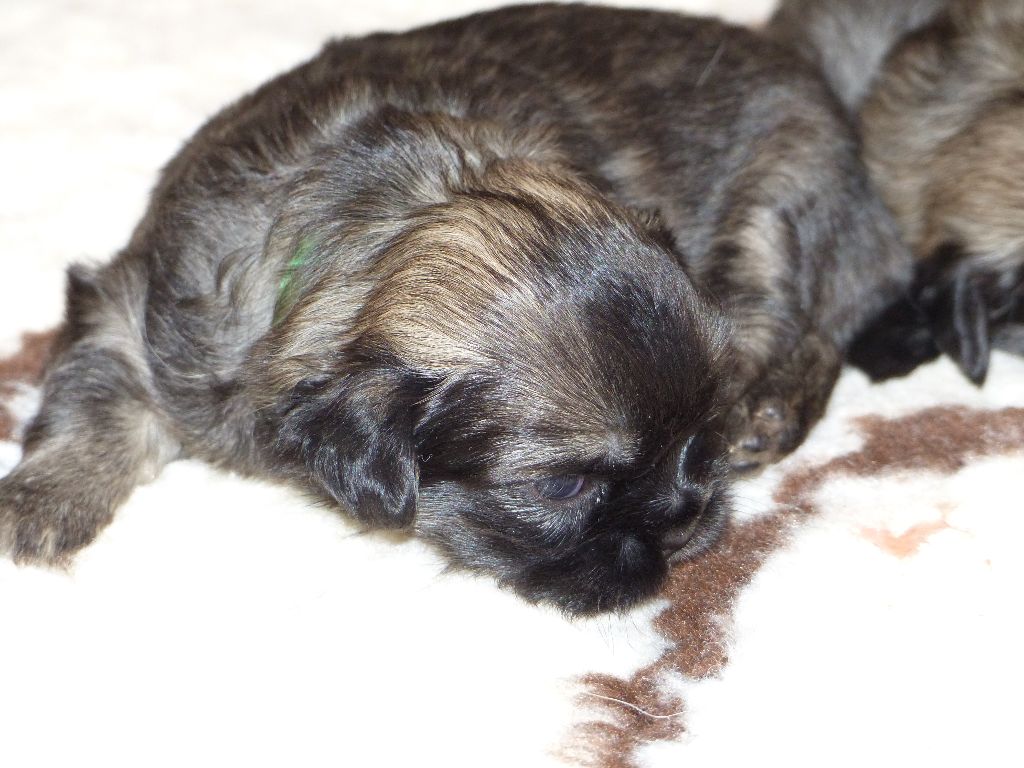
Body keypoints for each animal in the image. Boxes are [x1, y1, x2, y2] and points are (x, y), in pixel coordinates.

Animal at [0, 3, 910, 614]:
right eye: (561, 488)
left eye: (702, 431)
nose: (687, 520)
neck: (373, 222)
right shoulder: (133, 317)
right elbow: (87, 403)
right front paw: (38, 505)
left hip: (774, 215)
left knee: (816, 327)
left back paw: (772, 406)